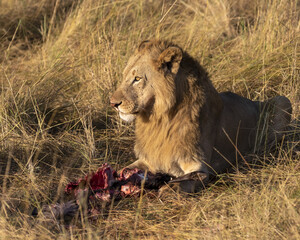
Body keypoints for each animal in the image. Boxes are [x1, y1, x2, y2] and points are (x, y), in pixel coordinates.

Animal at [109, 39, 290, 193]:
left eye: (137, 78)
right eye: (125, 76)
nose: (113, 103)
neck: (159, 120)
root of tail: (254, 101)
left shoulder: (198, 166)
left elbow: (184, 182)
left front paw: (169, 188)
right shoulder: (149, 160)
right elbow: (124, 169)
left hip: (282, 101)